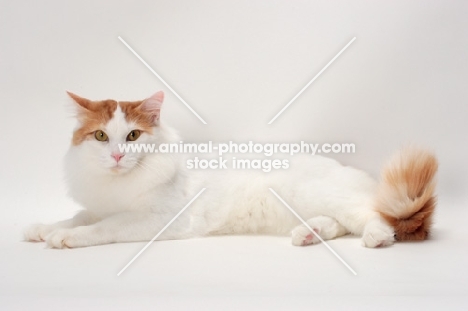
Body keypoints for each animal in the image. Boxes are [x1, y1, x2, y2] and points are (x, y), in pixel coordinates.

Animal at [22, 91, 438, 250]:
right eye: (101, 136)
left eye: (134, 135)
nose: (118, 156)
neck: (118, 184)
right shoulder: (96, 205)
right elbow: (78, 216)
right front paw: (43, 229)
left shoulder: (159, 219)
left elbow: (103, 228)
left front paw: (66, 238)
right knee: (339, 224)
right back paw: (308, 234)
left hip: (312, 192)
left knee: (374, 219)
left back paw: (376, 237)